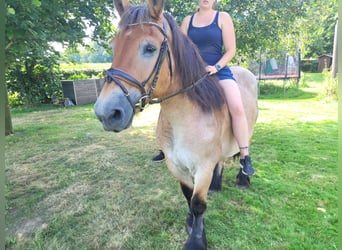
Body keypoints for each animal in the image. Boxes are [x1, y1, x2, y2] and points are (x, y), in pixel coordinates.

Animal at [93, 0, 256, 249]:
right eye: (114, 46)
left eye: (150, 48)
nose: (107, 113)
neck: (185, 118)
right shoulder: (175, 165)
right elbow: (188, 197)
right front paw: (191, 222)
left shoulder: (203, 166)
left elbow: (198, 203)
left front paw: (196, 240)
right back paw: (216, 185)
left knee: (245, 149)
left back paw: (243, 178)